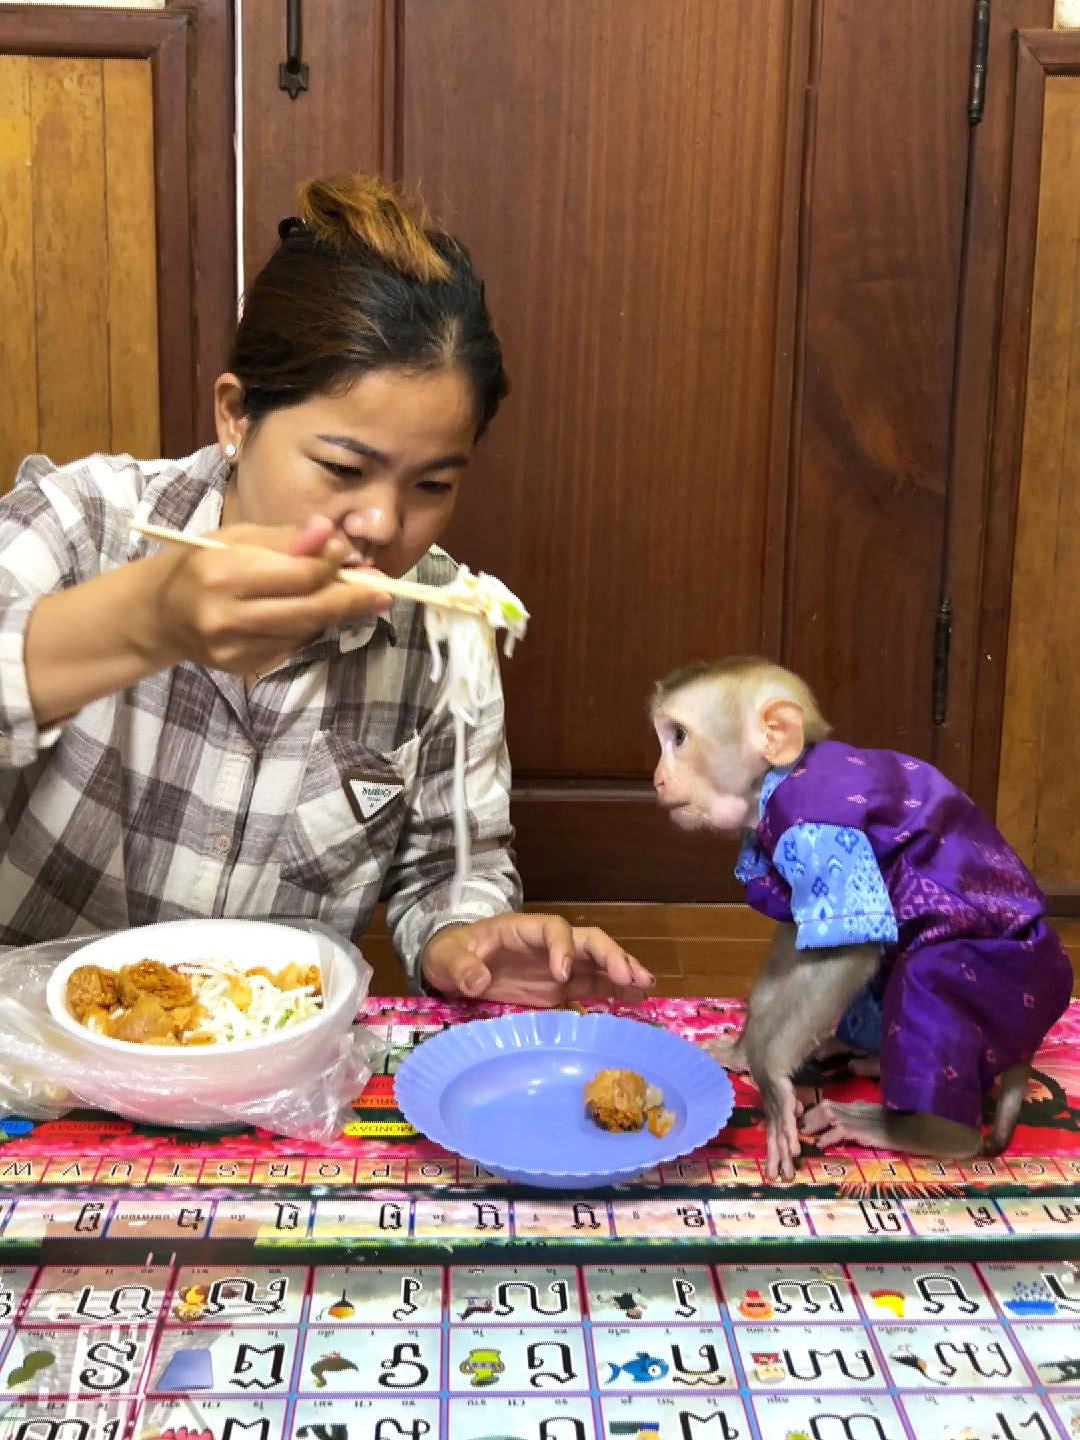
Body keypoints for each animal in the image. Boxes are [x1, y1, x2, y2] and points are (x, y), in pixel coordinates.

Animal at [650, 659, 1077, 1180]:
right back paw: (863, 1055)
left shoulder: (821, 829)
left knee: (929, 977)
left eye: (679, 738)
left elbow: (849, 948)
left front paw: (771, 1077)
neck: (778, 778)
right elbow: (798, 942)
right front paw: (745, 1050)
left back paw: (921, 1130)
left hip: (1010, 979)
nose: (657, 778)